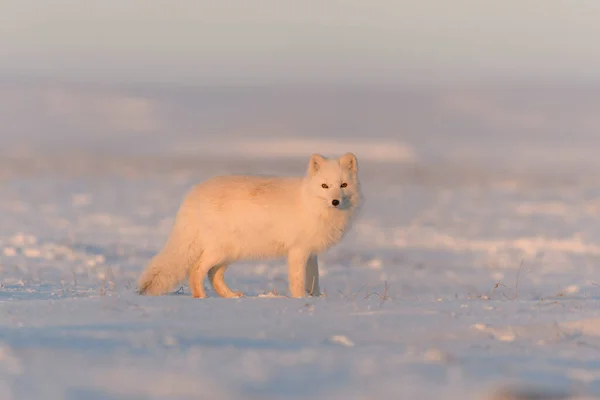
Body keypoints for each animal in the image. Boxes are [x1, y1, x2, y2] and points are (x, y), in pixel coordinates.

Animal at [137, 152, 360, 298]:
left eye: (343, 185)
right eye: (325, 186)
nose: (335, 202)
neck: (312, 204)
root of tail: (193, 194)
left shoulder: (311, 253)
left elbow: (314, 280)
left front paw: (316, 300)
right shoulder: (298, 251)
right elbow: (298, 281)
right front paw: (300, 301)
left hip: (231, 252)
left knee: (213, 275)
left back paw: (231, 297)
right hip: (220, 250)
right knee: (197, 271)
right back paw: (202, 299)